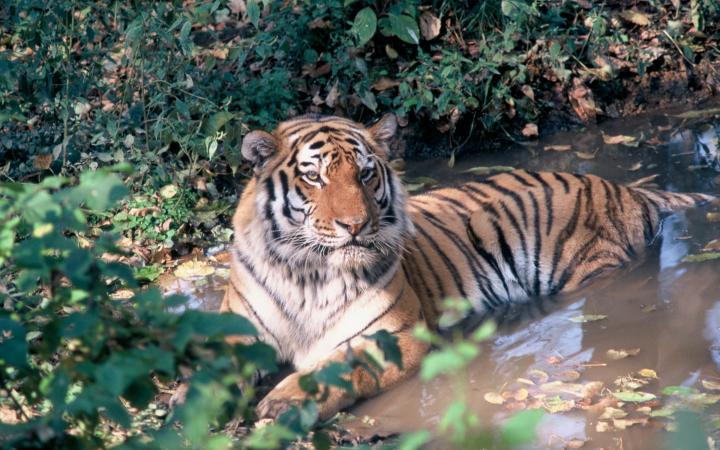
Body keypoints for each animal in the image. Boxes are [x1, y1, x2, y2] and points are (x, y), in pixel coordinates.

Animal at [222, 113, 716, 422]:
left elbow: (338, 366)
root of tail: (628, 189)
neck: (308, 274)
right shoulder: (235, 333)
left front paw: (282, 403)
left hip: (595, 269)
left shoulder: (394, 337)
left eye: (364, 174)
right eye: (313, 177)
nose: (356, 225)